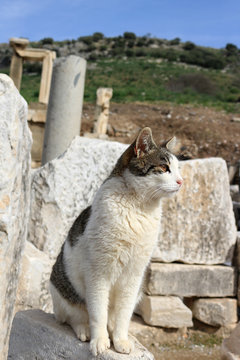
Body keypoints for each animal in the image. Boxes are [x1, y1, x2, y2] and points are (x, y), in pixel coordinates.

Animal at [49, 126, 183, 354]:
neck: (138, 208)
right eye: (164, 168)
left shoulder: (134, 276)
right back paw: (84, 330)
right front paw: (99, 341)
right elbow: (98, 313)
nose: (181, 181)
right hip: (63, 289)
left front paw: (120, 340)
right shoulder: (98, 274)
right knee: (74, 315)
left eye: (178, 169)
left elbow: (123, 315)